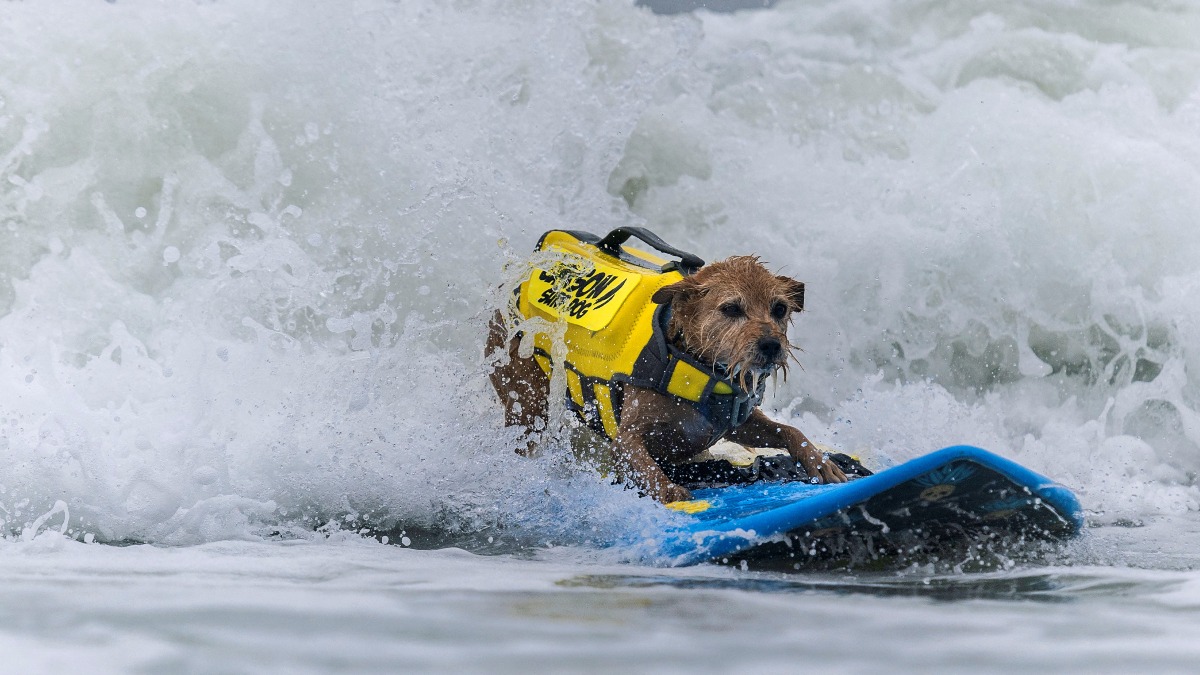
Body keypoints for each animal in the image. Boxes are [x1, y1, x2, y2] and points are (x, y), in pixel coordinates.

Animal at [484, 230, 844, 499]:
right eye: (731, 308)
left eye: (780, 308)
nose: (771, 345)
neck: (694, 366)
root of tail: (523, 270)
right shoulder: (627, 440)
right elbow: (648, 470)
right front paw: (673, 494)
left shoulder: (734, 422)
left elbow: (789, 430)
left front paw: (820, 462)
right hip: (525, 399)